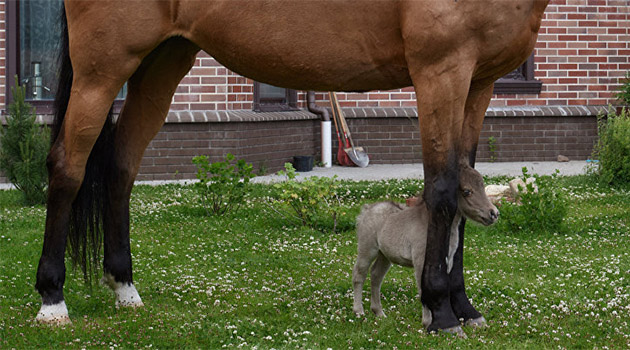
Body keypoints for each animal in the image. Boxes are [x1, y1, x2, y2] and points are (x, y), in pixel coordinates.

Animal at [356, 164, 498, 328]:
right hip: (367, 250)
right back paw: (359, 312)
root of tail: (367, 209)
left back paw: (379, 313)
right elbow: (423, 288)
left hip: (384, 255)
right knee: (359, 275)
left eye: (483, 187)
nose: (494, 213)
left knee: (376, 275)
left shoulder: (447, 261)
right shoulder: (420, 262)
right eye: (467, 191)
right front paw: (428, 322)